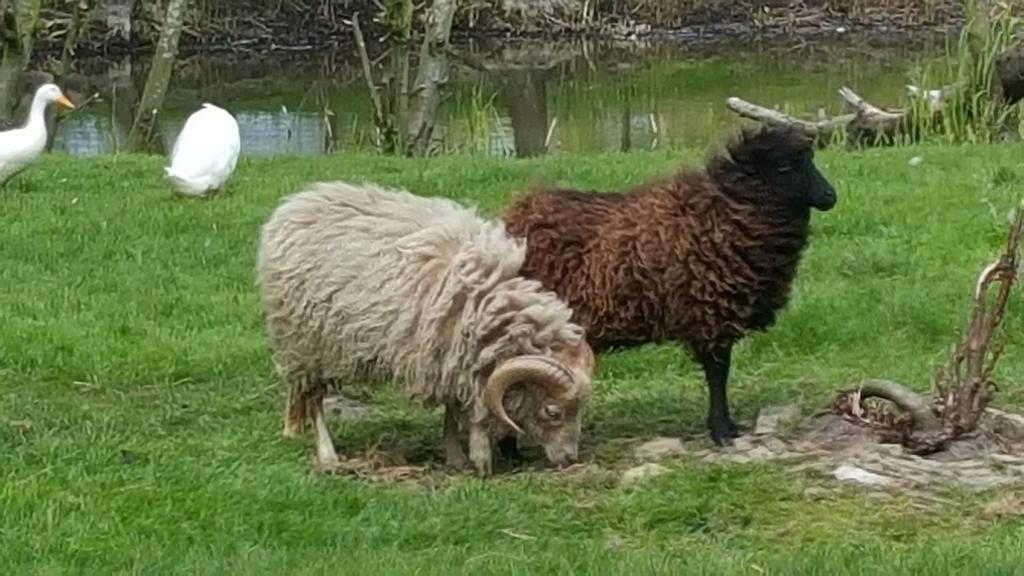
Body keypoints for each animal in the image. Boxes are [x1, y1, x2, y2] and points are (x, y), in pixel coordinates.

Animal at [256, 180, 598, 475]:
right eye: (552, 411)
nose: (570, 459)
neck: (488, 301)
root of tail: (295, 205)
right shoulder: (456, 355)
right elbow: (474, 409)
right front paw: (480, 458)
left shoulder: (451, 355)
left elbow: (452, 409)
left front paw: (457, 457)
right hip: (306, 339)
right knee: (314, 398)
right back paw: (328, 455)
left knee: (299, 390)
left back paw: (293, 429)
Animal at [499, 123, 835, 440]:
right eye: (785, 167)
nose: (831, 196)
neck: (727, 213)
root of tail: (512, 217)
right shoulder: (711, 313)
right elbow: (719, 374)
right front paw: (722, 430)